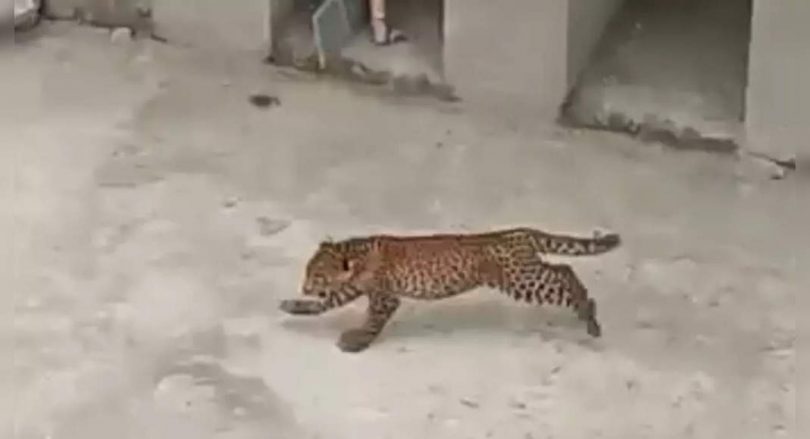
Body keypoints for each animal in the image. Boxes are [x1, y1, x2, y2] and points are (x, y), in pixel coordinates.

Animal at [279, 226, 621, 353]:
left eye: (318, 275)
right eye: (309, 273)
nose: (305, 286)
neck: (354, 256)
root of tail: (520, 232)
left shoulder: (384, 298)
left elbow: (372, 322)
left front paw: (357, 341)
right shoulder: (356, 289)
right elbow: (329, 303)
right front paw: (295, 306)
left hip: (520, 279)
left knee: (564, 275)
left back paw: (589, 314)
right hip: (525, 273)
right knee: (563, 269)